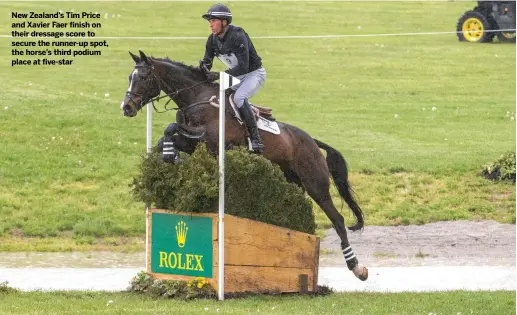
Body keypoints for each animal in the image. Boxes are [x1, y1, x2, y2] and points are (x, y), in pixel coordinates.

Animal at [118, 50, 366, 282]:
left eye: (143, 77)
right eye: (130, 77)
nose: (126, 107)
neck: (197, 98)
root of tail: (313, 141)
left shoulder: (211, 142)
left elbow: (171, 129)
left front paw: (172, 156)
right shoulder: (193, 141)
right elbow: (167, 135)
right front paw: (170, 156)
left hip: (316, 184)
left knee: (338, 220)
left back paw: (357, 267)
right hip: (293, 182)